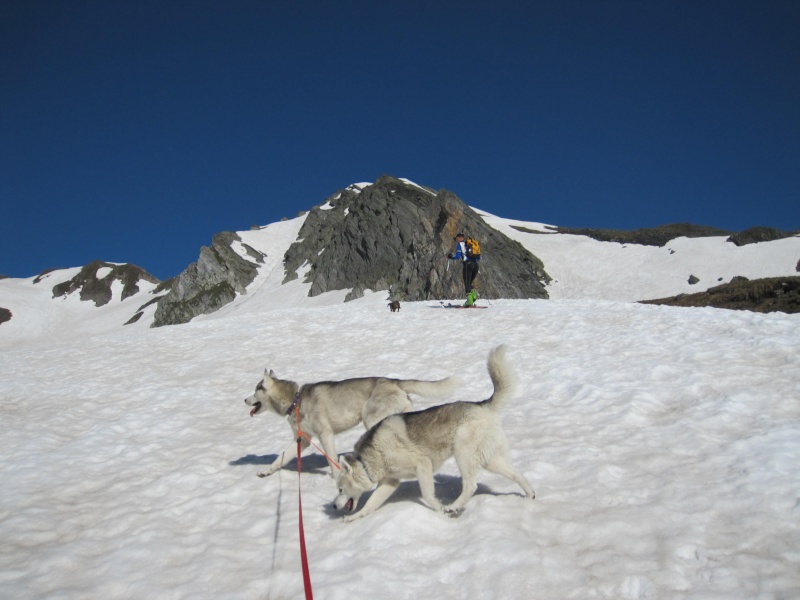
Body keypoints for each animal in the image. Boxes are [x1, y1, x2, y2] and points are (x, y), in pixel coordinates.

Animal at [244, 368, 460, 476]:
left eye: (254, 391)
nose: (244, 400)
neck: (295, 401)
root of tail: (393, 381)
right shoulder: (303, 439)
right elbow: (280, 458)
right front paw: (266, 471)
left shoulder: (325, 435)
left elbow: (331, 460)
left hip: (370, 418)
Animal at [334, 346, 536, 520]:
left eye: (340, 489)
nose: (335, 506)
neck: (369, 459)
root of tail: (482, 405)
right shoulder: (390, 482)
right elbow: (370, 505)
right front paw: (353, 518)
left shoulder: (423, 465)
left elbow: (428, 496)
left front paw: (439, 510)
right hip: (490, 459)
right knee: (516, 474)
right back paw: (530, 494)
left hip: (463, 454)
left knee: (470, 485)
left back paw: (453, 506)